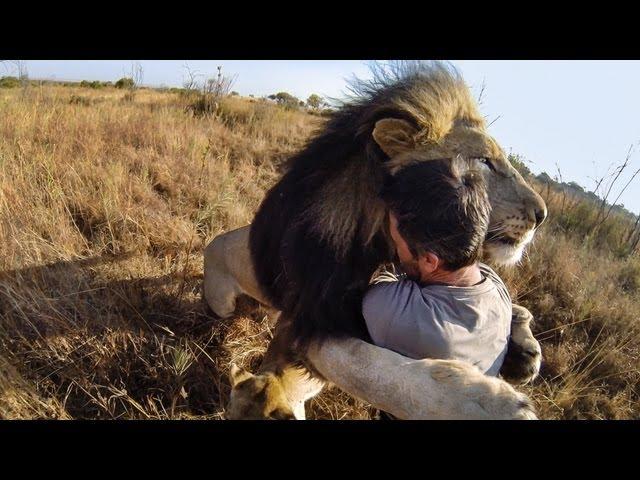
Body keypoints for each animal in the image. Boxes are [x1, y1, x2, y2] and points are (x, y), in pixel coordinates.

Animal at [208, 61, 548, 420]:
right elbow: (370, 368)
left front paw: (520, 348)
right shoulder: (312, 314)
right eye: (484, 161)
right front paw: (481, 404)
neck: (377, 237)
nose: (542, 215)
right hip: (223, 303)